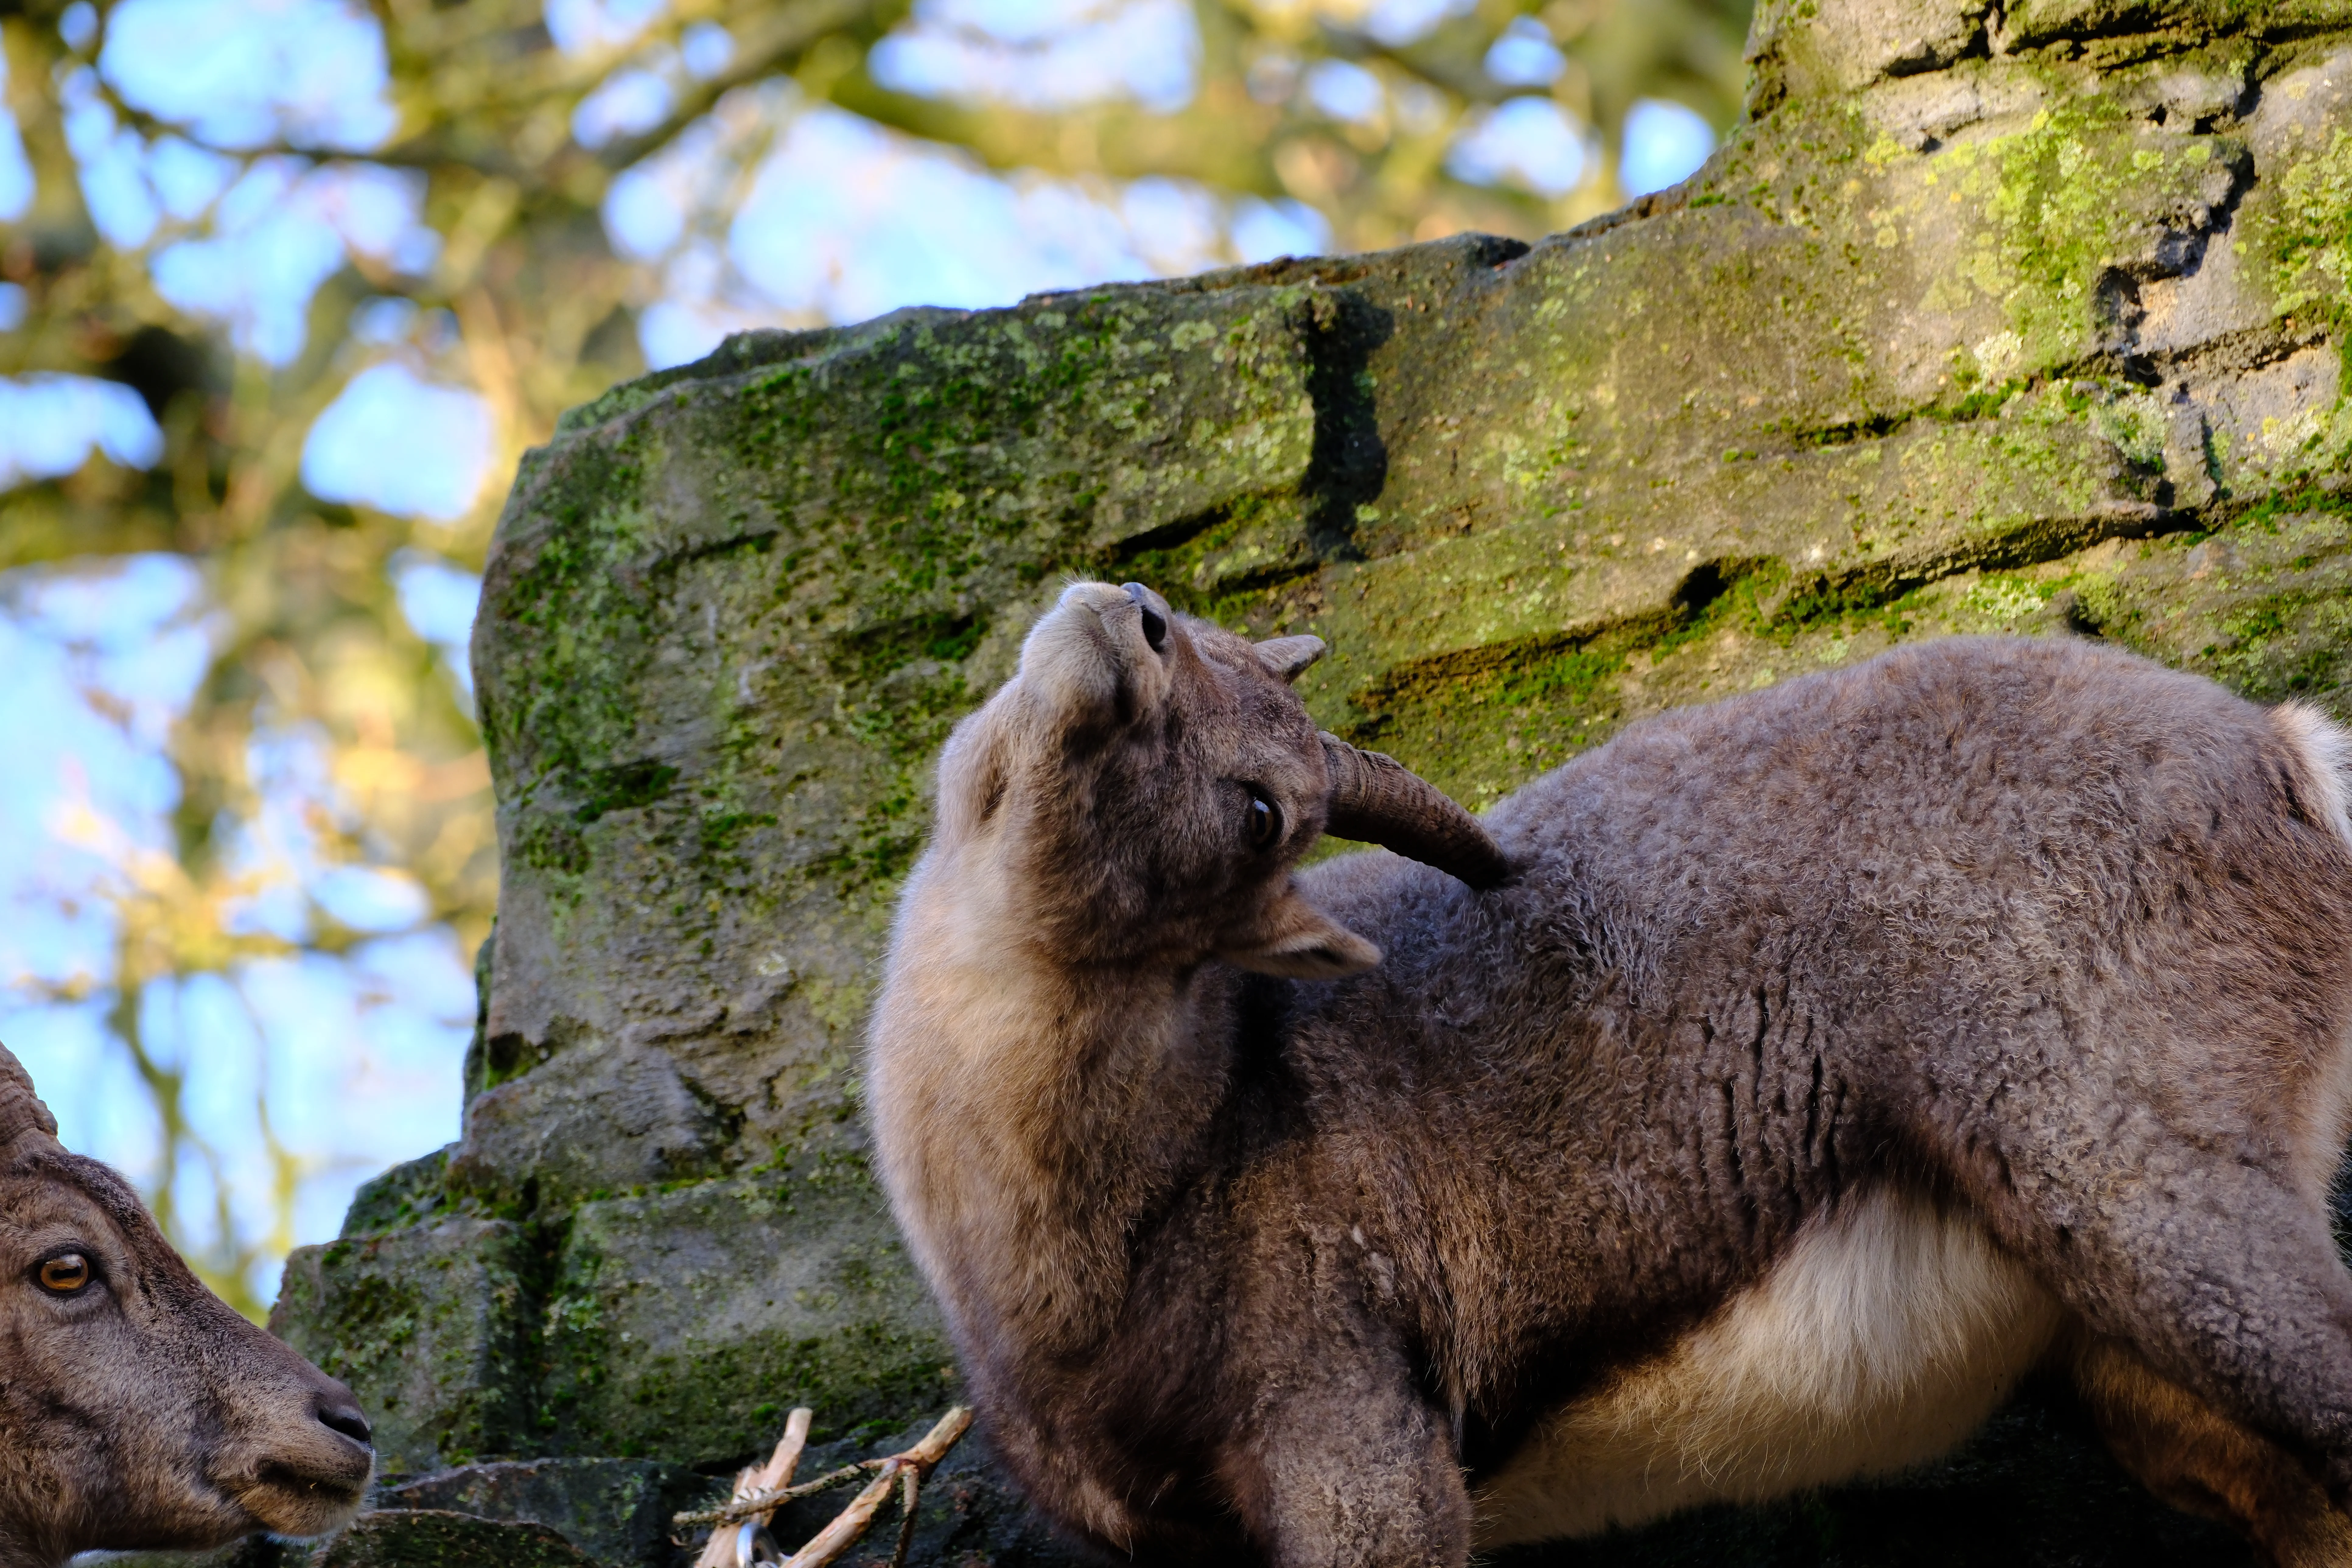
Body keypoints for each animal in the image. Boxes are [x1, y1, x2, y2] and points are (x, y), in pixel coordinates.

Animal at [867, 579, 2352, 1568]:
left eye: (1260, 810)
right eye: (1198, 636)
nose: (1132, 615)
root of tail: (2285, 754)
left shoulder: (1354, 1440)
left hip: (2148, 1200)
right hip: (2133, 1362)